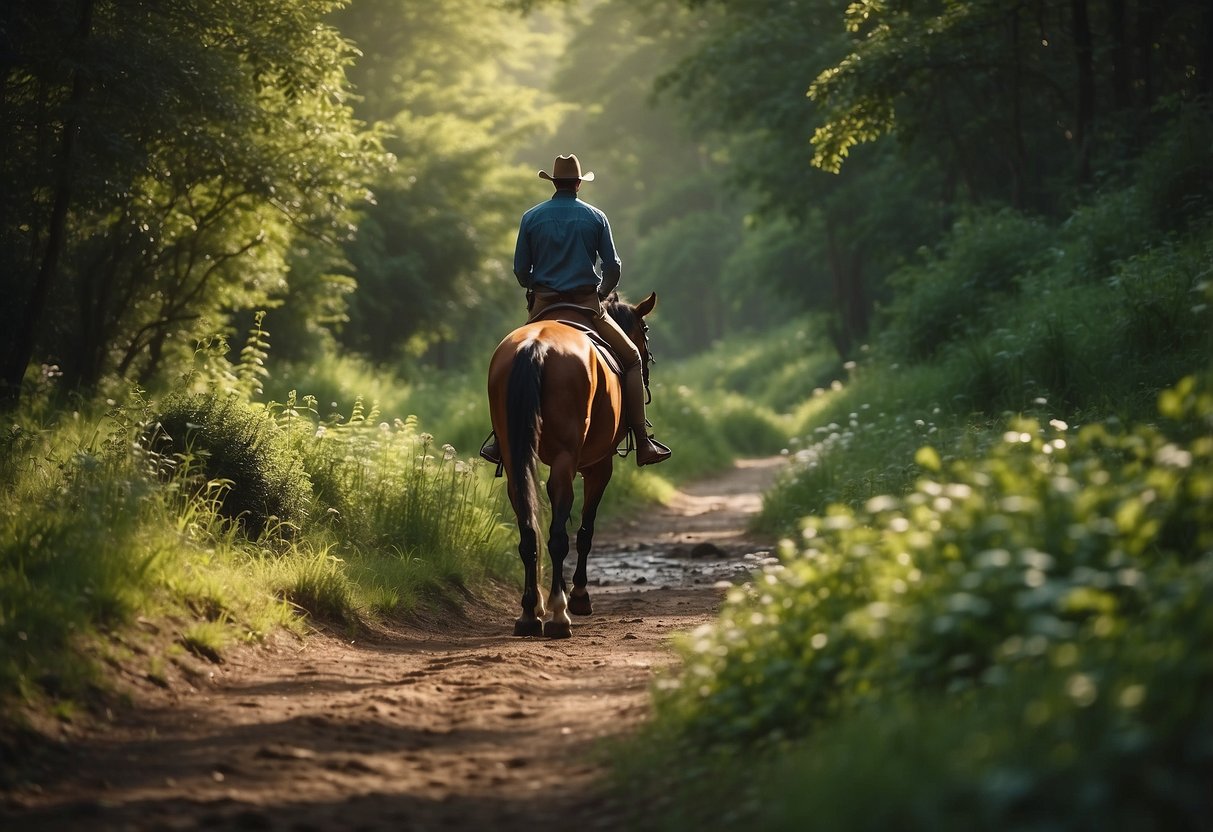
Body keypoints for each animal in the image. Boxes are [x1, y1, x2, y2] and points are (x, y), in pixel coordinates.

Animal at [485, 292, 659, 640]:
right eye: (644, 329)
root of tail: (536, 346)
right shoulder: (599, 467)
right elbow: (585, 531)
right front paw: (579, 595)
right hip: (567, 460)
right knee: (558, 536)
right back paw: (559, 613)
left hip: (514, 457)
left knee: (529, 531)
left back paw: (530, 613)